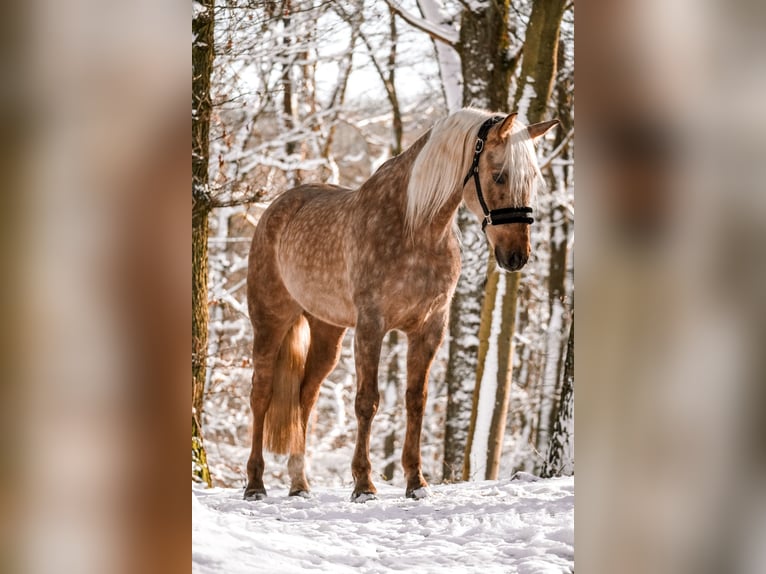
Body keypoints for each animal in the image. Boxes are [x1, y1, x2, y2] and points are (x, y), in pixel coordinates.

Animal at [246, 109, 560, 504]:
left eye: (532, 178)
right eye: (499, 175)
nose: (517, 256)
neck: (415, 227)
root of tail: (274, 209)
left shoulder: (429, 328)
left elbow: (416, 401)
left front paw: (416, 481)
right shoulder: (371, 326)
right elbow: (367, 401)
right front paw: (364, 485)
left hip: (326, 330)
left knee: (305, 397)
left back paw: (299, 484)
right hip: (270, 321)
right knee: (261, 394)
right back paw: (255, 484)